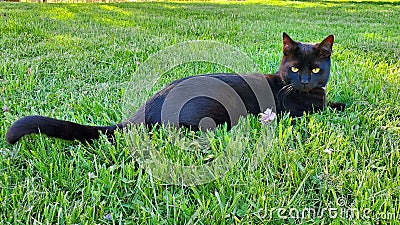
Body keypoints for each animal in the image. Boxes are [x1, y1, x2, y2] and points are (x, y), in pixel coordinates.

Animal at [4, 33, 346, 144]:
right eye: (295, 69)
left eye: (316, 69)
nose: (306, 80)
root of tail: (147, 105)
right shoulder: (298, 111)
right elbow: (325, 107)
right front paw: (341, 105)